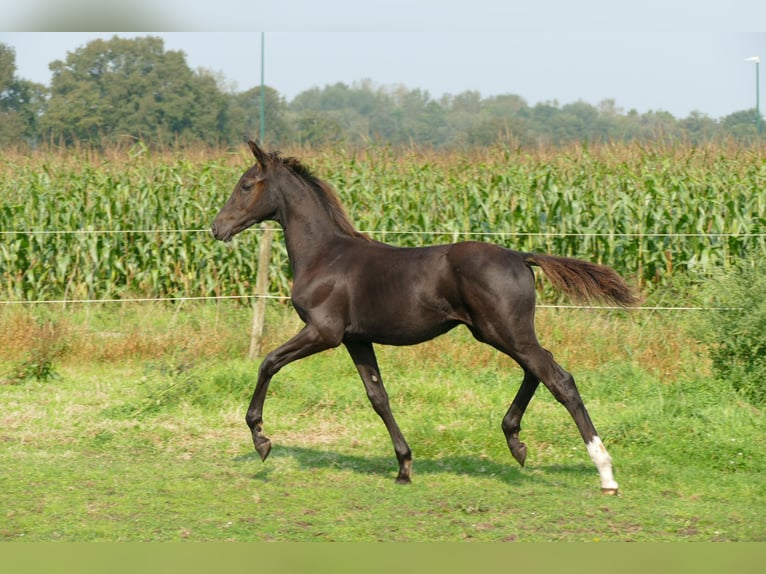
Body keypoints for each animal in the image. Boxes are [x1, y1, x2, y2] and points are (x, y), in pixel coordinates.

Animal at [213, 141, 640, 496]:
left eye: (246, 185)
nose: (217, 227)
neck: (324, 255)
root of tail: (521, 256)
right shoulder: (356, 338)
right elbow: (378, 397)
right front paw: (404, 466)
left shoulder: (324, 331)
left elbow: (268, 362)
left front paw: (261, 439)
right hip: (502, 333)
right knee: (539, 369)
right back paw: (515, 440)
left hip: (504, 332)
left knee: (559, 379)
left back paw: (605, 473)